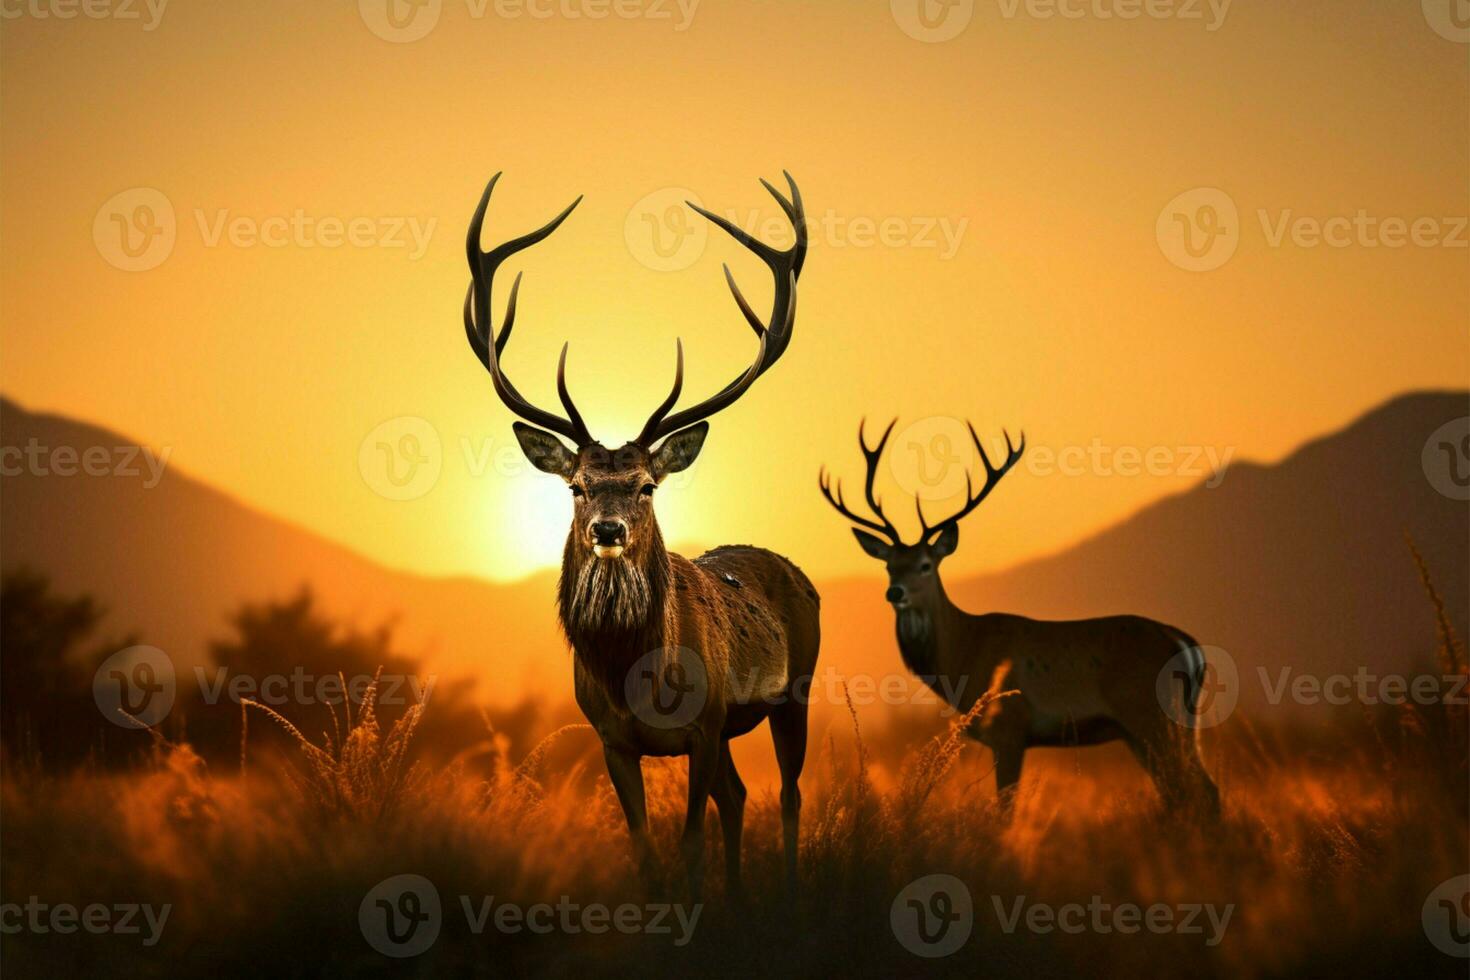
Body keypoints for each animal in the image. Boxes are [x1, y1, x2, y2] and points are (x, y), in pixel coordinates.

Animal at [464, 172, 823, 899]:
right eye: (576, 485)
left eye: (646, 486)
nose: (608, 528)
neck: (639, 678)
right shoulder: (612, 737)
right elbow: (647, 849)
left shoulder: (705, 725)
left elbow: (689, 843)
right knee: (740, 797)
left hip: (796, 689)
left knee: (789, 795)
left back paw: (788, 892)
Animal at [823, 423, 1223, 822]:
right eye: (889, 565)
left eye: (925, 564)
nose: (895, 592)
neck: (964, 654)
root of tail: (1184, 643)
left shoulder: (1009, 727)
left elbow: (1005, 812)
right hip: (1163, 727)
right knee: (1183, 791)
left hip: (1151, 714)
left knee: (1200, 788)